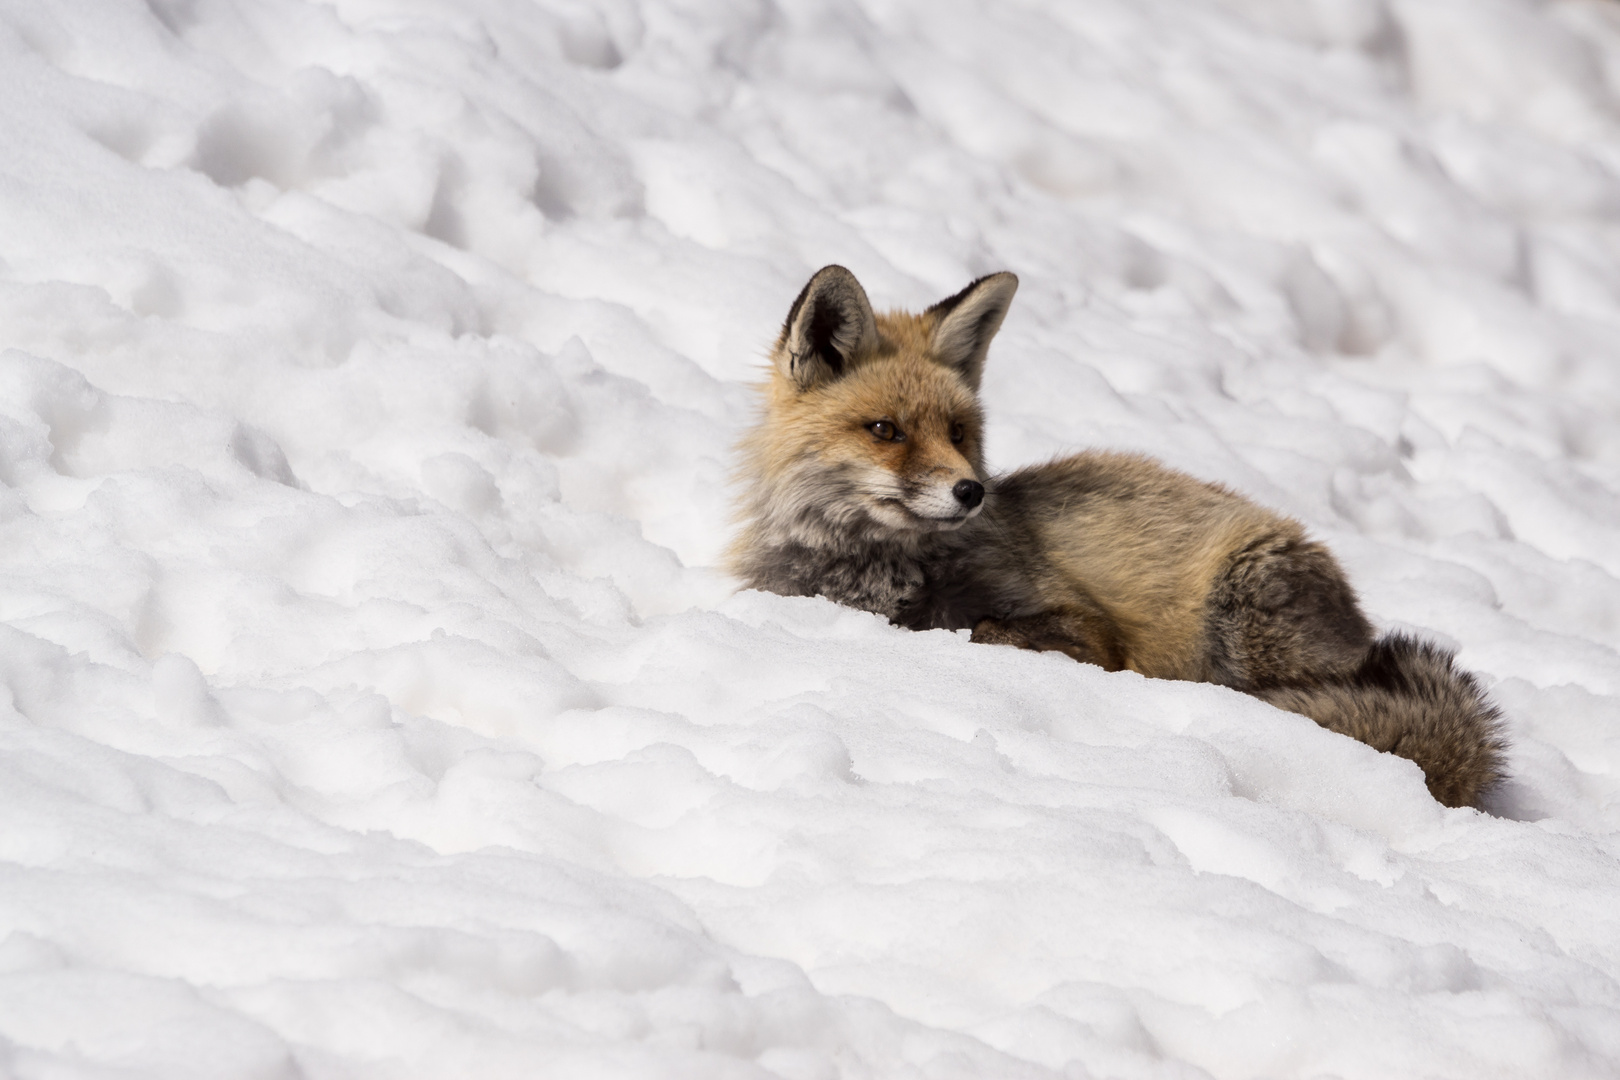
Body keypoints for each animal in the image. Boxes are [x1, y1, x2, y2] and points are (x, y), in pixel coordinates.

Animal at [729, 265, 1509, 806]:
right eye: (885, 430)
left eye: (957, 433)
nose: (971, 491)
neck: (876, 573)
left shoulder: (1083, 624)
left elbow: (987, 629)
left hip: (1242, 619)